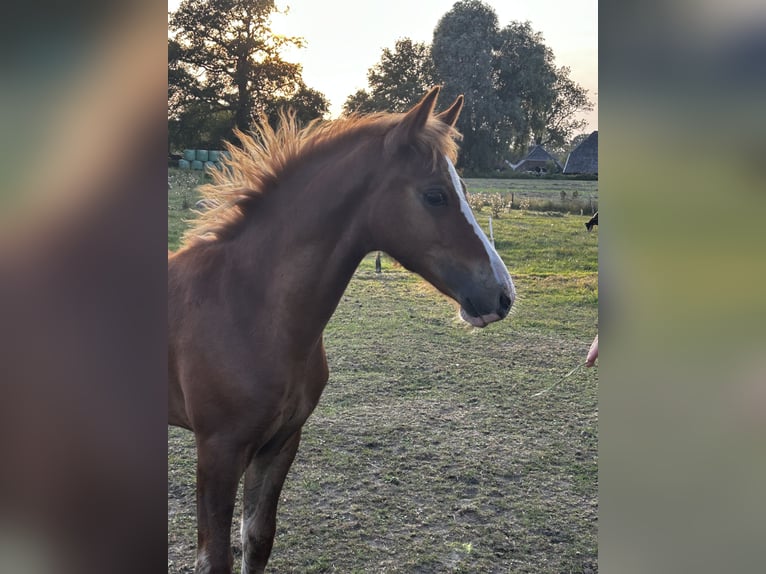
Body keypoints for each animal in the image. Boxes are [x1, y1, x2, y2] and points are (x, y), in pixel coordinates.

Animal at [167, 86, 516, 574]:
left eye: (464, 190)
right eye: (435, 195)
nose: (502, 295)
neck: (246, 306)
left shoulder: (280, 443)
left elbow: (257, 539)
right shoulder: (218, 452)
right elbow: (215, 558)